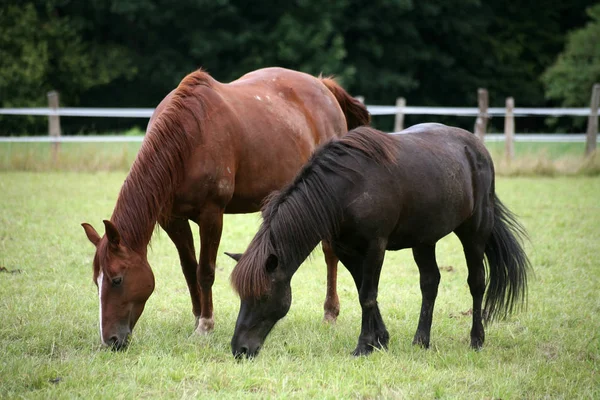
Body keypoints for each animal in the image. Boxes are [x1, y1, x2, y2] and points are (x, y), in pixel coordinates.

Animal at [79, 67, 370, 348]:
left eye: (117, 279)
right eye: (96, 281)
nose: (110, 340)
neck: (188, 138)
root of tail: (323, 85)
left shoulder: (211, 214)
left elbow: (205, 271)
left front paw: (206, 325)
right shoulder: (172, 218)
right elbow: (189, 269)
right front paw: (197, 316)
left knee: (330, 254)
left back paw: (330, 313)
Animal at [229, 123, 528, 358]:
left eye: (262, 295)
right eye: (241, 296)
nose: (239, 349)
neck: (345, 189)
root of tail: (476, 147)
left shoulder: (376, 246)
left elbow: (367, 295)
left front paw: (364, 345)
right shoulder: (346, 249)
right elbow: (364, 290)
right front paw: (380, 340)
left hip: (474, 232)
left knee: (476, 282)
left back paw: (476, 339)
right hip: (424, 240)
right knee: (430, 283)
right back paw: (421, 340)